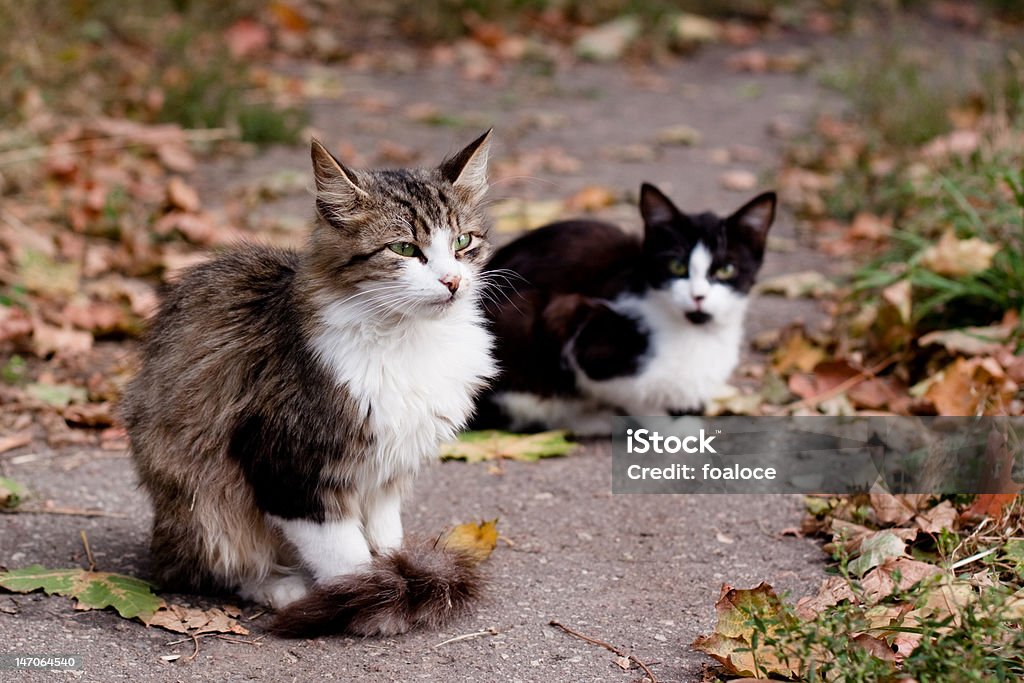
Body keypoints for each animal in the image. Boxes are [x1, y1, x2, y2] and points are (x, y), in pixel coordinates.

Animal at [121, 132, 497, 634]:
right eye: (403, 249)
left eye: (462, 241)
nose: (452, 281)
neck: (409, 338)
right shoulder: (291, 467)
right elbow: (345, 557)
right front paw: (370, 598)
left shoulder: (386, 472)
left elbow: (385, 537)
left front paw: (396, 575)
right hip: (201, 497)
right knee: (216, 565)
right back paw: (283, 587)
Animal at [475, 184, 770, 436]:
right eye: (676, 266)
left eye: (726, 269)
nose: (698, 296)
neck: (695, 330)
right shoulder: (574, 325)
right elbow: (634, 396)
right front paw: (672, 430)